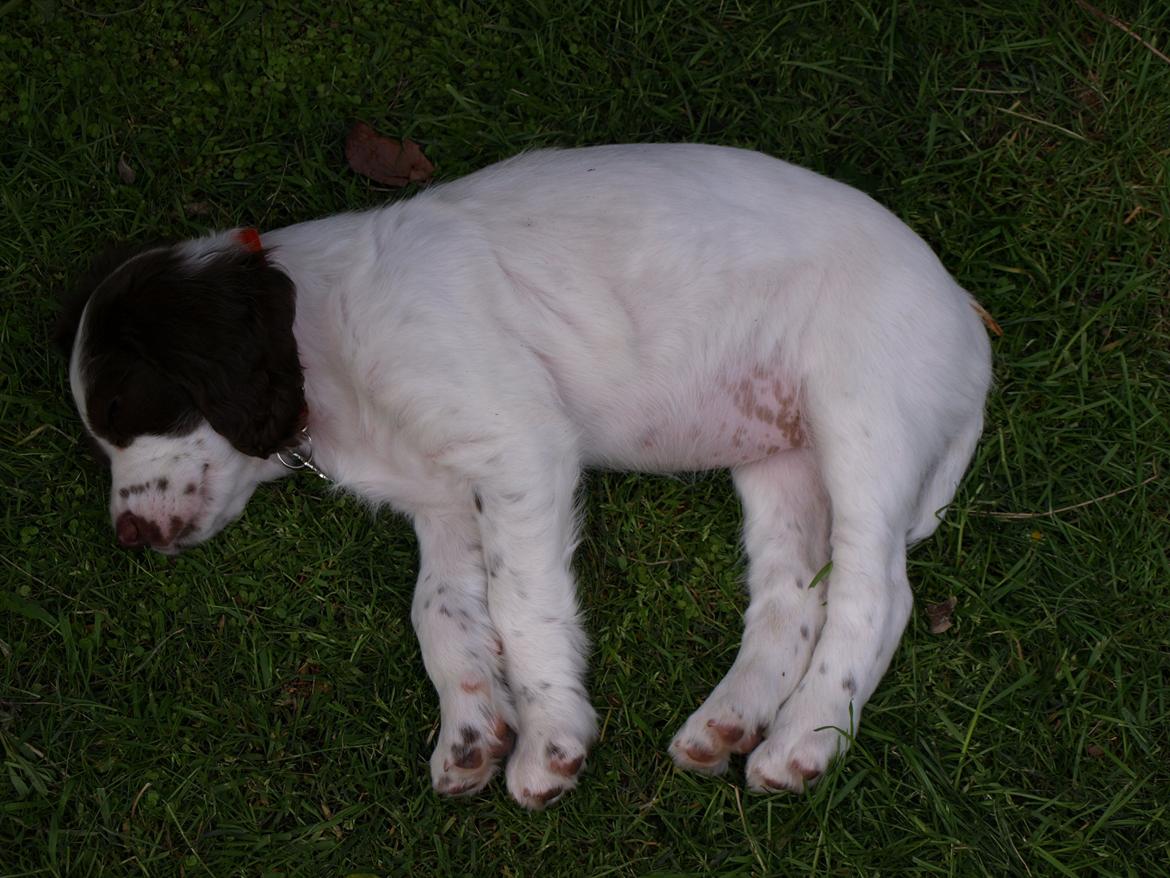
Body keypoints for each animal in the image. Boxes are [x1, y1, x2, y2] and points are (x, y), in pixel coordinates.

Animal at [59, 146, 992, 810]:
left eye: (121, 406)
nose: (127, 537)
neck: (328, 340)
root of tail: (970, 320)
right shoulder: (440, 502)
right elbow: (439, 614)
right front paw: (471, 730)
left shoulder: (519, 449)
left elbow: (519, 603)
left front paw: (550, 742)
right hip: (779, 462)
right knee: (791, 596)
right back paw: (729, 722)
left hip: (861, 415)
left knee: (876, 593)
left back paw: (805, 740)